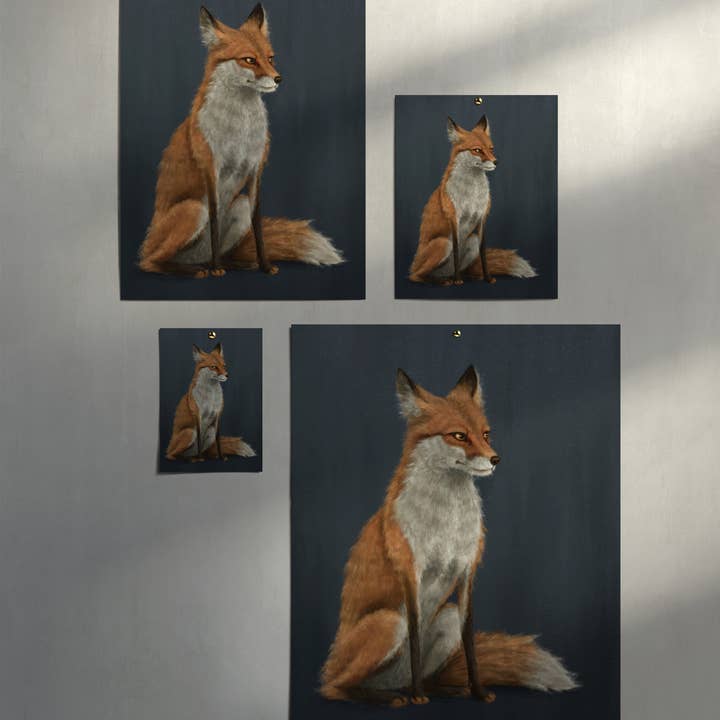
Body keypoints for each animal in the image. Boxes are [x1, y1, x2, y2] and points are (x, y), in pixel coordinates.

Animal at [138, 4, 343, 279]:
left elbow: (258, 228)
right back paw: (197, 269)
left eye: (270, 58)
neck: (240, 129)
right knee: (150, 262)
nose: (278, 79)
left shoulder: (256, 170)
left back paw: (234, 264)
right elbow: (215, 220)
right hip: (193, 209)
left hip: (240, 206)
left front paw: (264, 265)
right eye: (249, 59)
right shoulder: (211, 170)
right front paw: (217, 270)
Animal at [320, 366, 576, 707]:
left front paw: (478, 691)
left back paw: (442, 689)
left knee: (422, 675)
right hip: (389, 622)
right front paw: (418, 698)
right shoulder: (411, 573)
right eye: (458, 435)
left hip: (447, 617)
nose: (495, 459)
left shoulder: (467, 572)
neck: (447, 522)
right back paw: (391, 696)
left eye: (485, 434)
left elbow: (470, 644)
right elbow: (415, 638)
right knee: (334, 687)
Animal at [409, 115, 537, 285]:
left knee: (463, 269)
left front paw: (487, 278)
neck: (472, 194)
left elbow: (483, 253)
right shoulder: (454, 218)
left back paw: (469, 276)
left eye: (491, 148)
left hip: (472, 240)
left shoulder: (482, 218)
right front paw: (458, 281)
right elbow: (456, 251)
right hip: (443, 244)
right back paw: (445, 281)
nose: (496, 162)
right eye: (477, 150)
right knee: (416, 276)